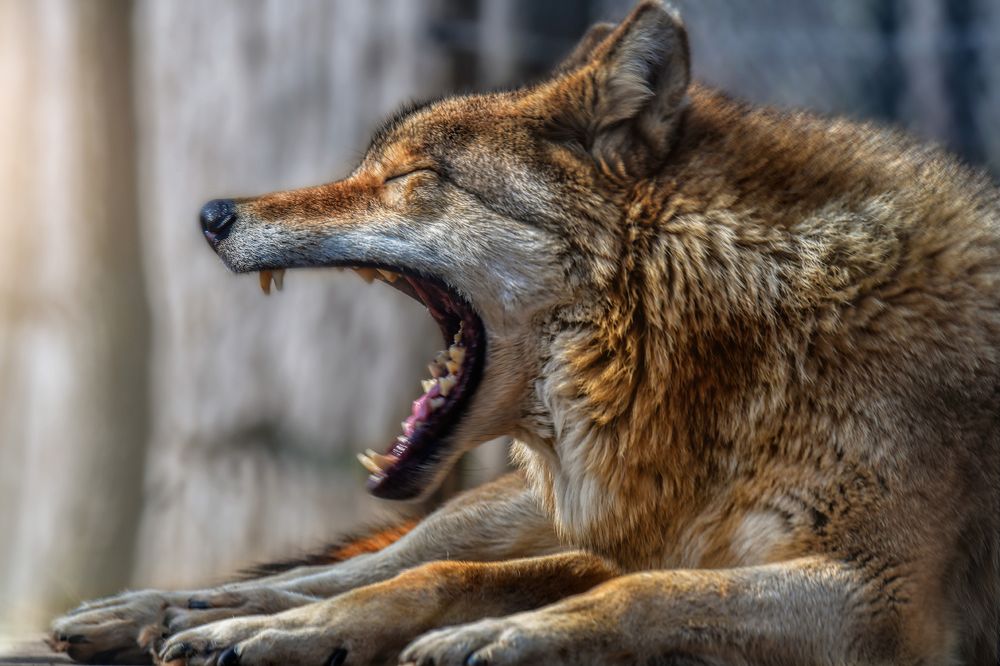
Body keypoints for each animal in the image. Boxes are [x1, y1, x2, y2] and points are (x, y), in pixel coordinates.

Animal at [49, 1, 999, 664]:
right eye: (370, 167)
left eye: (409, 177)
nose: (213, 214)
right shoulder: (637, 548)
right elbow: (447, 576)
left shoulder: (878, 601)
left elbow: (639, 596)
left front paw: (491, 637)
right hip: (500, 511)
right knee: (356, 564)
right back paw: (166, 611)